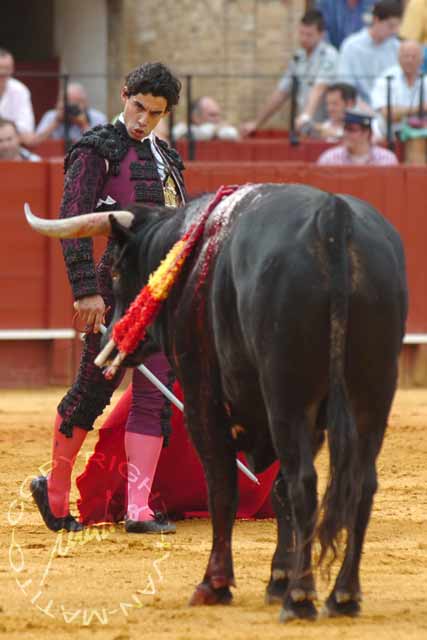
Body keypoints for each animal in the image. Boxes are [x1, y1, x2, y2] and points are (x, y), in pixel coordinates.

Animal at [27, 182, 412, 624]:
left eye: (119, 271)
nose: (109, 336)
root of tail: (334, 219)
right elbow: (277, 490)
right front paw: (277, 578)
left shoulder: (203, 398)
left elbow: (225, 488)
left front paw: (217, 583)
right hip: (372, 395)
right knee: (360, 484)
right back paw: (343, 595)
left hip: (288, 397)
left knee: (306, 483)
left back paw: (301, 598)